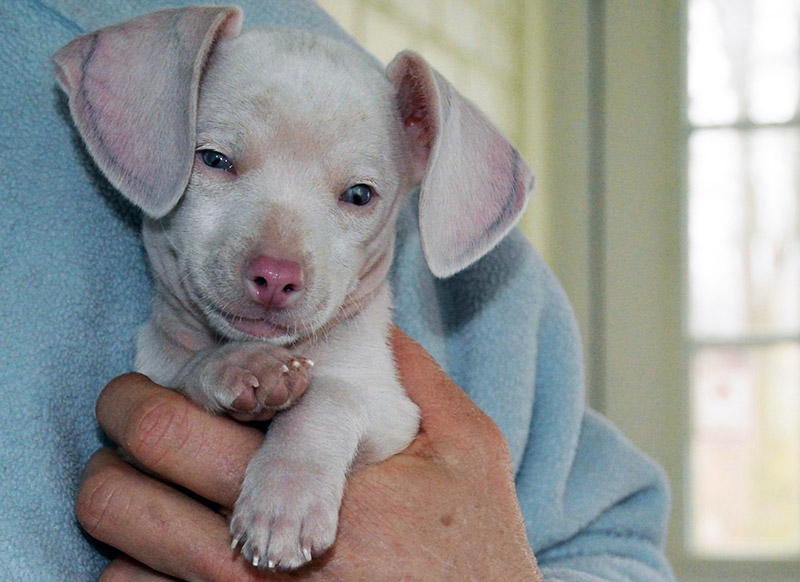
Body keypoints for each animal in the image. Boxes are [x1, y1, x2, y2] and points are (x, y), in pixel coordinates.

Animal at [53, 3, 536, 572]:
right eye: (213, 159)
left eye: (359, 195)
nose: (276, 276)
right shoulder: (143, 414)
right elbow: (188, 373)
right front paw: (238, 366)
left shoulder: (393, 413)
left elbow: (329, 396)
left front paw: (285, 501)